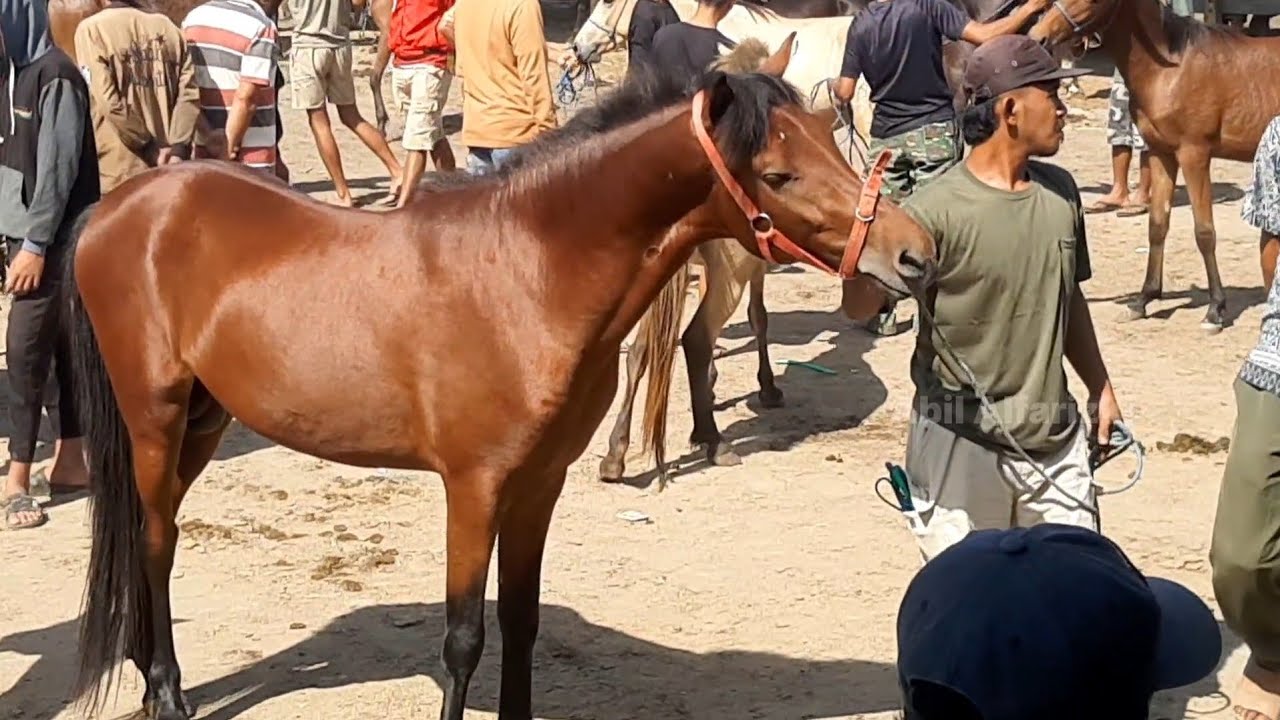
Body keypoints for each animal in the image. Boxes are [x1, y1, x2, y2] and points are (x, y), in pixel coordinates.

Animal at [67, 46, 936, 720]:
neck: (527, 272)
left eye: (832, 138)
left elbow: (521, 623)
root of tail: (120, 206)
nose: (914, 253)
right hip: (155, 420)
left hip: (205, 421)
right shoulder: (473, 486)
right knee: (156, 544)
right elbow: (463, 638)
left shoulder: (538, 483)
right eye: (778, 172)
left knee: (154, 538)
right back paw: (167, 691)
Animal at [1030, 0, 1280, 332]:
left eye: (1095, 1)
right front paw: (1144, 299)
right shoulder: (1163, 155)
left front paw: (1215, 309)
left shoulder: (1194, 154)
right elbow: (1157, 225)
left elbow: (1204, 232)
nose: (1039, 37)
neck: (1173, 68)